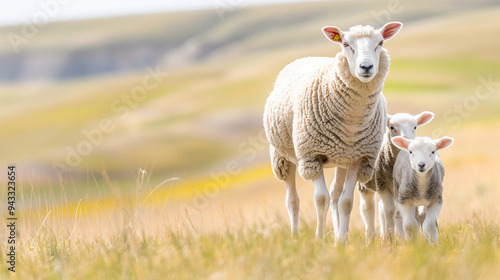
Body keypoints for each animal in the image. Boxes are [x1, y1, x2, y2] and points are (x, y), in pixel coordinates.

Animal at [264, 21, 404, 243]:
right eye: (345, 44)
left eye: (380, 42)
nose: (366, 67)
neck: (352, 122)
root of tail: (307, 57)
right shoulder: (312, 156)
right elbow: (321, 199)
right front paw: (320, 238)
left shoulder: (360, 159)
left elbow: (345, 201)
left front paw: (342, 241)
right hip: (282, 157)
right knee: (292, 199)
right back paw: (295, 237)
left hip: (342, 158)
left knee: (336, 195)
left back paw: (338, 234)